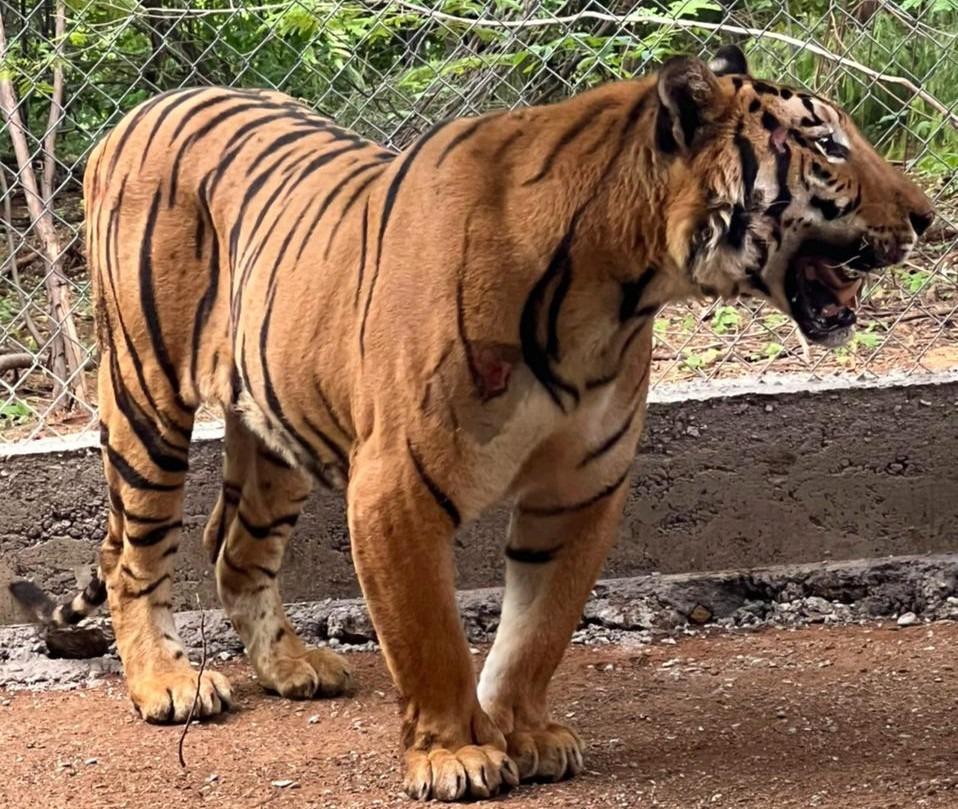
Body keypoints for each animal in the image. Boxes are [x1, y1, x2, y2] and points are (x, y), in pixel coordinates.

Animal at [11, 42, 932, 796]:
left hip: (276, 422)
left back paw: (291, 665)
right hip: (145, 394)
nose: (927, 217)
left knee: (234, 545)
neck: (619, 290)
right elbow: (431, 636)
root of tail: (141, 110)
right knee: (136, 556)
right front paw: (454, 752)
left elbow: (537, 632)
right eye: (827, 145)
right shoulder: (396, 488)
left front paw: (522, 731)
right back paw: (166, 684)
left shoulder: (580, 489)